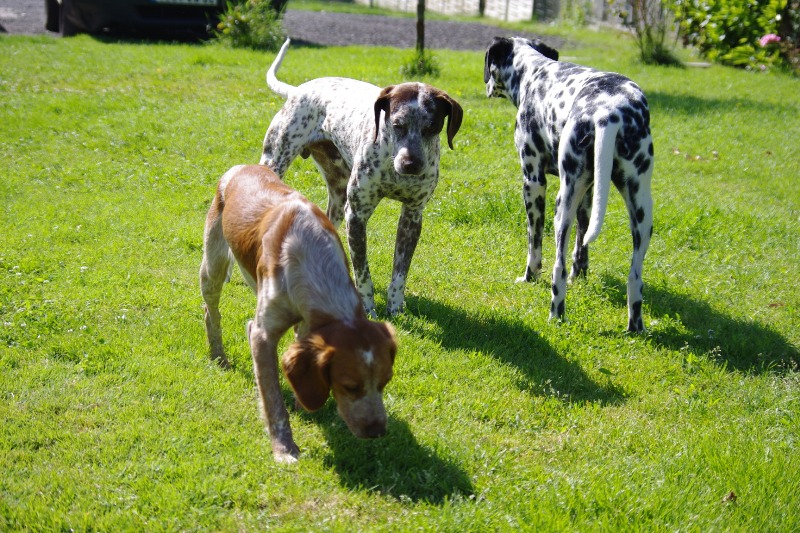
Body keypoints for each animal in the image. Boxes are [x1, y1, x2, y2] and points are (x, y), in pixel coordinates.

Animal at [199, 164, 396, 464]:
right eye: (350, 386)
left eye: (385, 382)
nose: (377, 431)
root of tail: (242, 167)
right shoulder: (261, 334)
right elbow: (273, 401)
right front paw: (284, 449)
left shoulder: (306, 324)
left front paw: (301, 404)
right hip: (213, 266)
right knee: (211, 313)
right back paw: (219, 356)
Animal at [260, 40, 462, 320]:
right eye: (397, 124)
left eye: (432, 127)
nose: (411, 164)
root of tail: (298, 90)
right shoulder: (356, 214)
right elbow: (363, 273)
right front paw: (367, 310)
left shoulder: (412, 216)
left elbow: (399, 273)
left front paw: (395, 309)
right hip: (274, 161)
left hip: (338, 191)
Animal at [484, 36, 652, 328]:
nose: (486, 87)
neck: (534, 72)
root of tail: (608, 113)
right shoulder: (588, 195)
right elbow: (581, 247)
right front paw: (580, 277)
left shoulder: (533, 182)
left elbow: (534, 244)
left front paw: (529, 277)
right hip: (641, 213)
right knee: (634, 279)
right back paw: (635, 327)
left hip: (561, 207)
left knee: (558, 268)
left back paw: (555, 314)